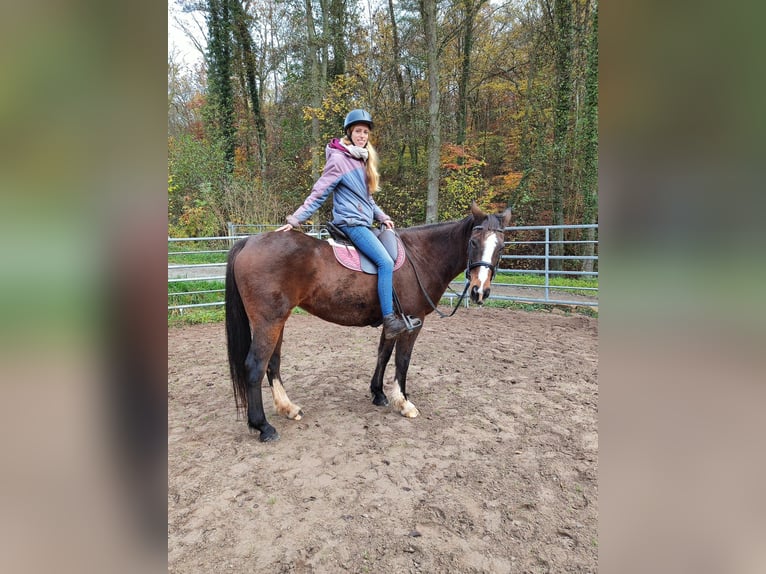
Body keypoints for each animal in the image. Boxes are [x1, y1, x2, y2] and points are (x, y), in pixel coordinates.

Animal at [225, 201, 512, 442]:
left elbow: (383, 355)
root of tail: (248, 241)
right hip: (268, 322)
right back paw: (263, 426)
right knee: (254, 367)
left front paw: (379, 394)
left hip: (278, 321)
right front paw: (403, 402)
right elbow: (402, 361)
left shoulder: (393, 322)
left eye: (501, 246)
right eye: (473, 242)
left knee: (272, 363)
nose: (479, 291)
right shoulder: (414, 321)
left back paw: (287, 408)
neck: (421, 256)